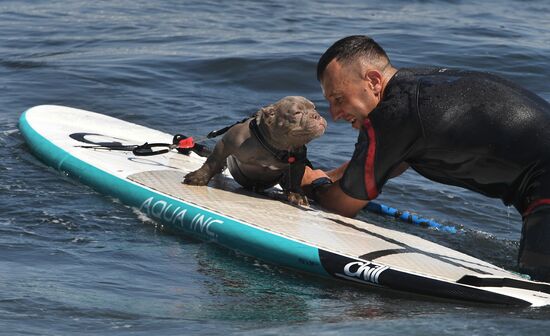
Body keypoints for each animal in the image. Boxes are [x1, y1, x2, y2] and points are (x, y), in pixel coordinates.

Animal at [184, 95, 328, 205]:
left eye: (315, 108)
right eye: (297, 113)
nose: (316, 115)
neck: (274, 147)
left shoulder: (298, 161)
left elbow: (296, 179)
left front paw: (297, 195)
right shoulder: (226, 143)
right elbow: (212, 162)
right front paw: (198, 177)